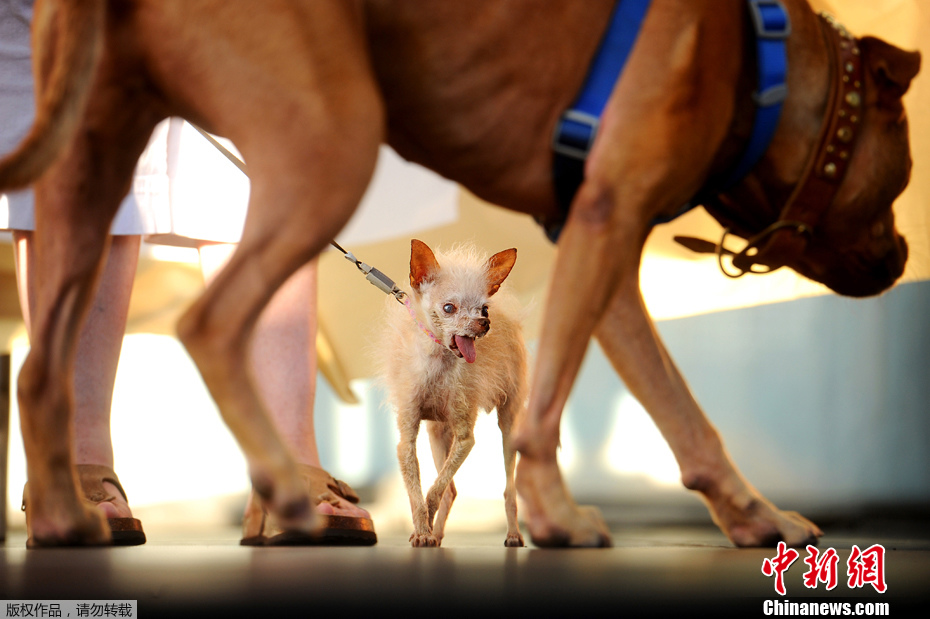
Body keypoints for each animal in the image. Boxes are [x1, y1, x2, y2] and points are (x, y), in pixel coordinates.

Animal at [0, 0, 912, 548]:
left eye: (478, 308)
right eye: (900, 171)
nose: (903, 255)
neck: (756, 56)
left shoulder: (591, 247)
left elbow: (657, 413)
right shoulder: (608, 218)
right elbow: (475, 459)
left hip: (91, 165)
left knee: (45, 362)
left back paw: (70, 518)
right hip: (329, 145)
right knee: (208, 323)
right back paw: (287, 495)